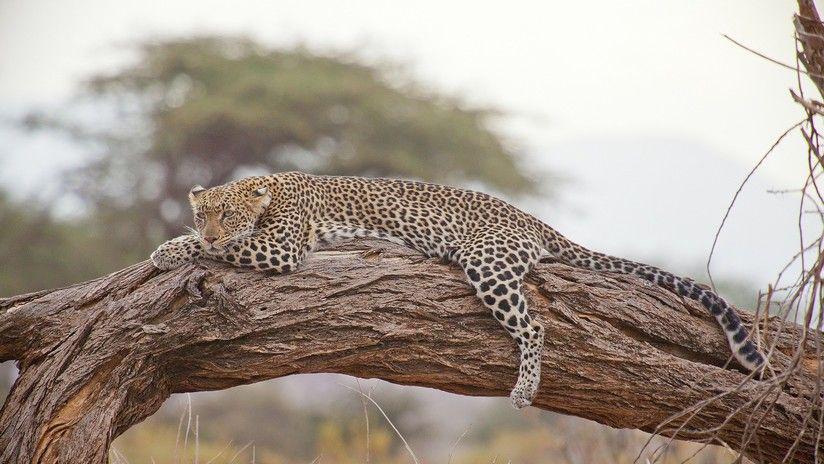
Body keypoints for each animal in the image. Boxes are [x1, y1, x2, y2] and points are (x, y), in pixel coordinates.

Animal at [150, 171, 766, 408]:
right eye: (205, 212)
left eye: (227, 217)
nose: (210, 227)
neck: (268, 189)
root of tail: (531, 219)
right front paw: (171, 244)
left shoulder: (281, 247)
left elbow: (218, 250)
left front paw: (172, 250)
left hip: (486, 262)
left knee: (534, 324)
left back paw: (524, 389)